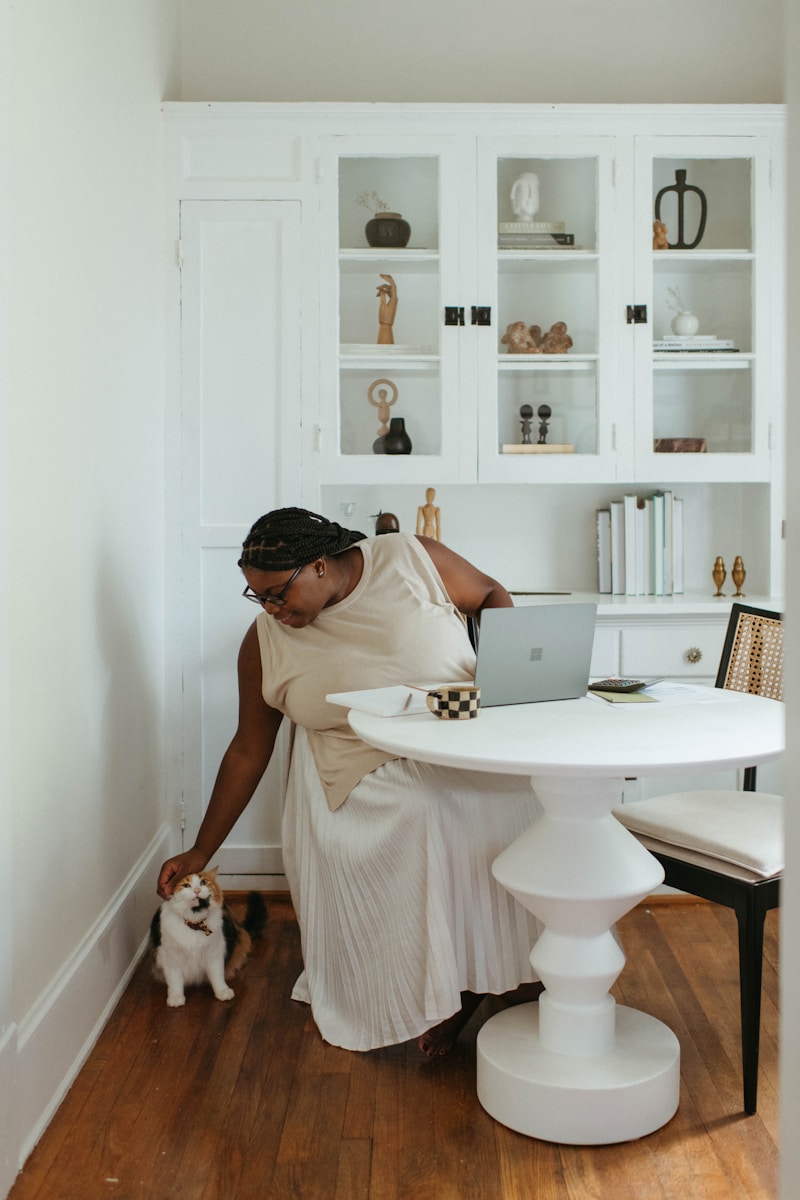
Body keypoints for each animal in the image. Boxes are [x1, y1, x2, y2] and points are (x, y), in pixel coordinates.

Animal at [150, 866, 267, 1007]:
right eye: (186, 885)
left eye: (203, 883)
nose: (197, 890)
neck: (195, 923)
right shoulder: (170, 958)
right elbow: (174, 980)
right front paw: (176, 998)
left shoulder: (214, 953)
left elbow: (217, 975)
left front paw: (222, 992)